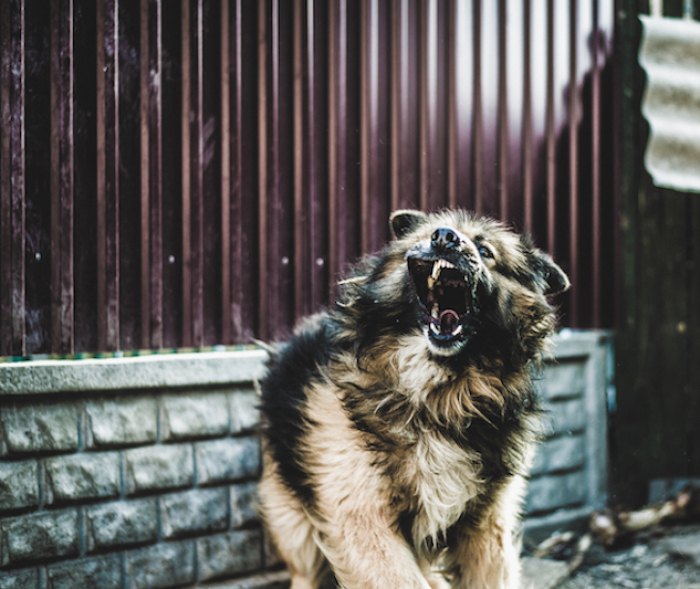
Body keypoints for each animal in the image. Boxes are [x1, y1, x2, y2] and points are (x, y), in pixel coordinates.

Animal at [258, 209, 568, 588]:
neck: (440, 395)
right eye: (427, 235)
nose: (445, 237)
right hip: (294, 523)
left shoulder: (486, 523)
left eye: (485, 250)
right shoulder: (361, 515)